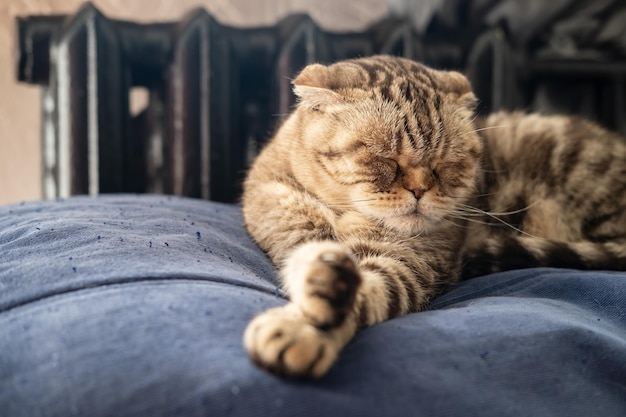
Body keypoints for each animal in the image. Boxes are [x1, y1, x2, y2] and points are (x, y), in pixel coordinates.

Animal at [239, 54, 624, 376]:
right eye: (386, 160)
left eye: (444, 165)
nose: (420, 190)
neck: (347, 214)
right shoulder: (290, 224)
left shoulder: (407, 263)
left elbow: (367, 290)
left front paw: (304, 327)